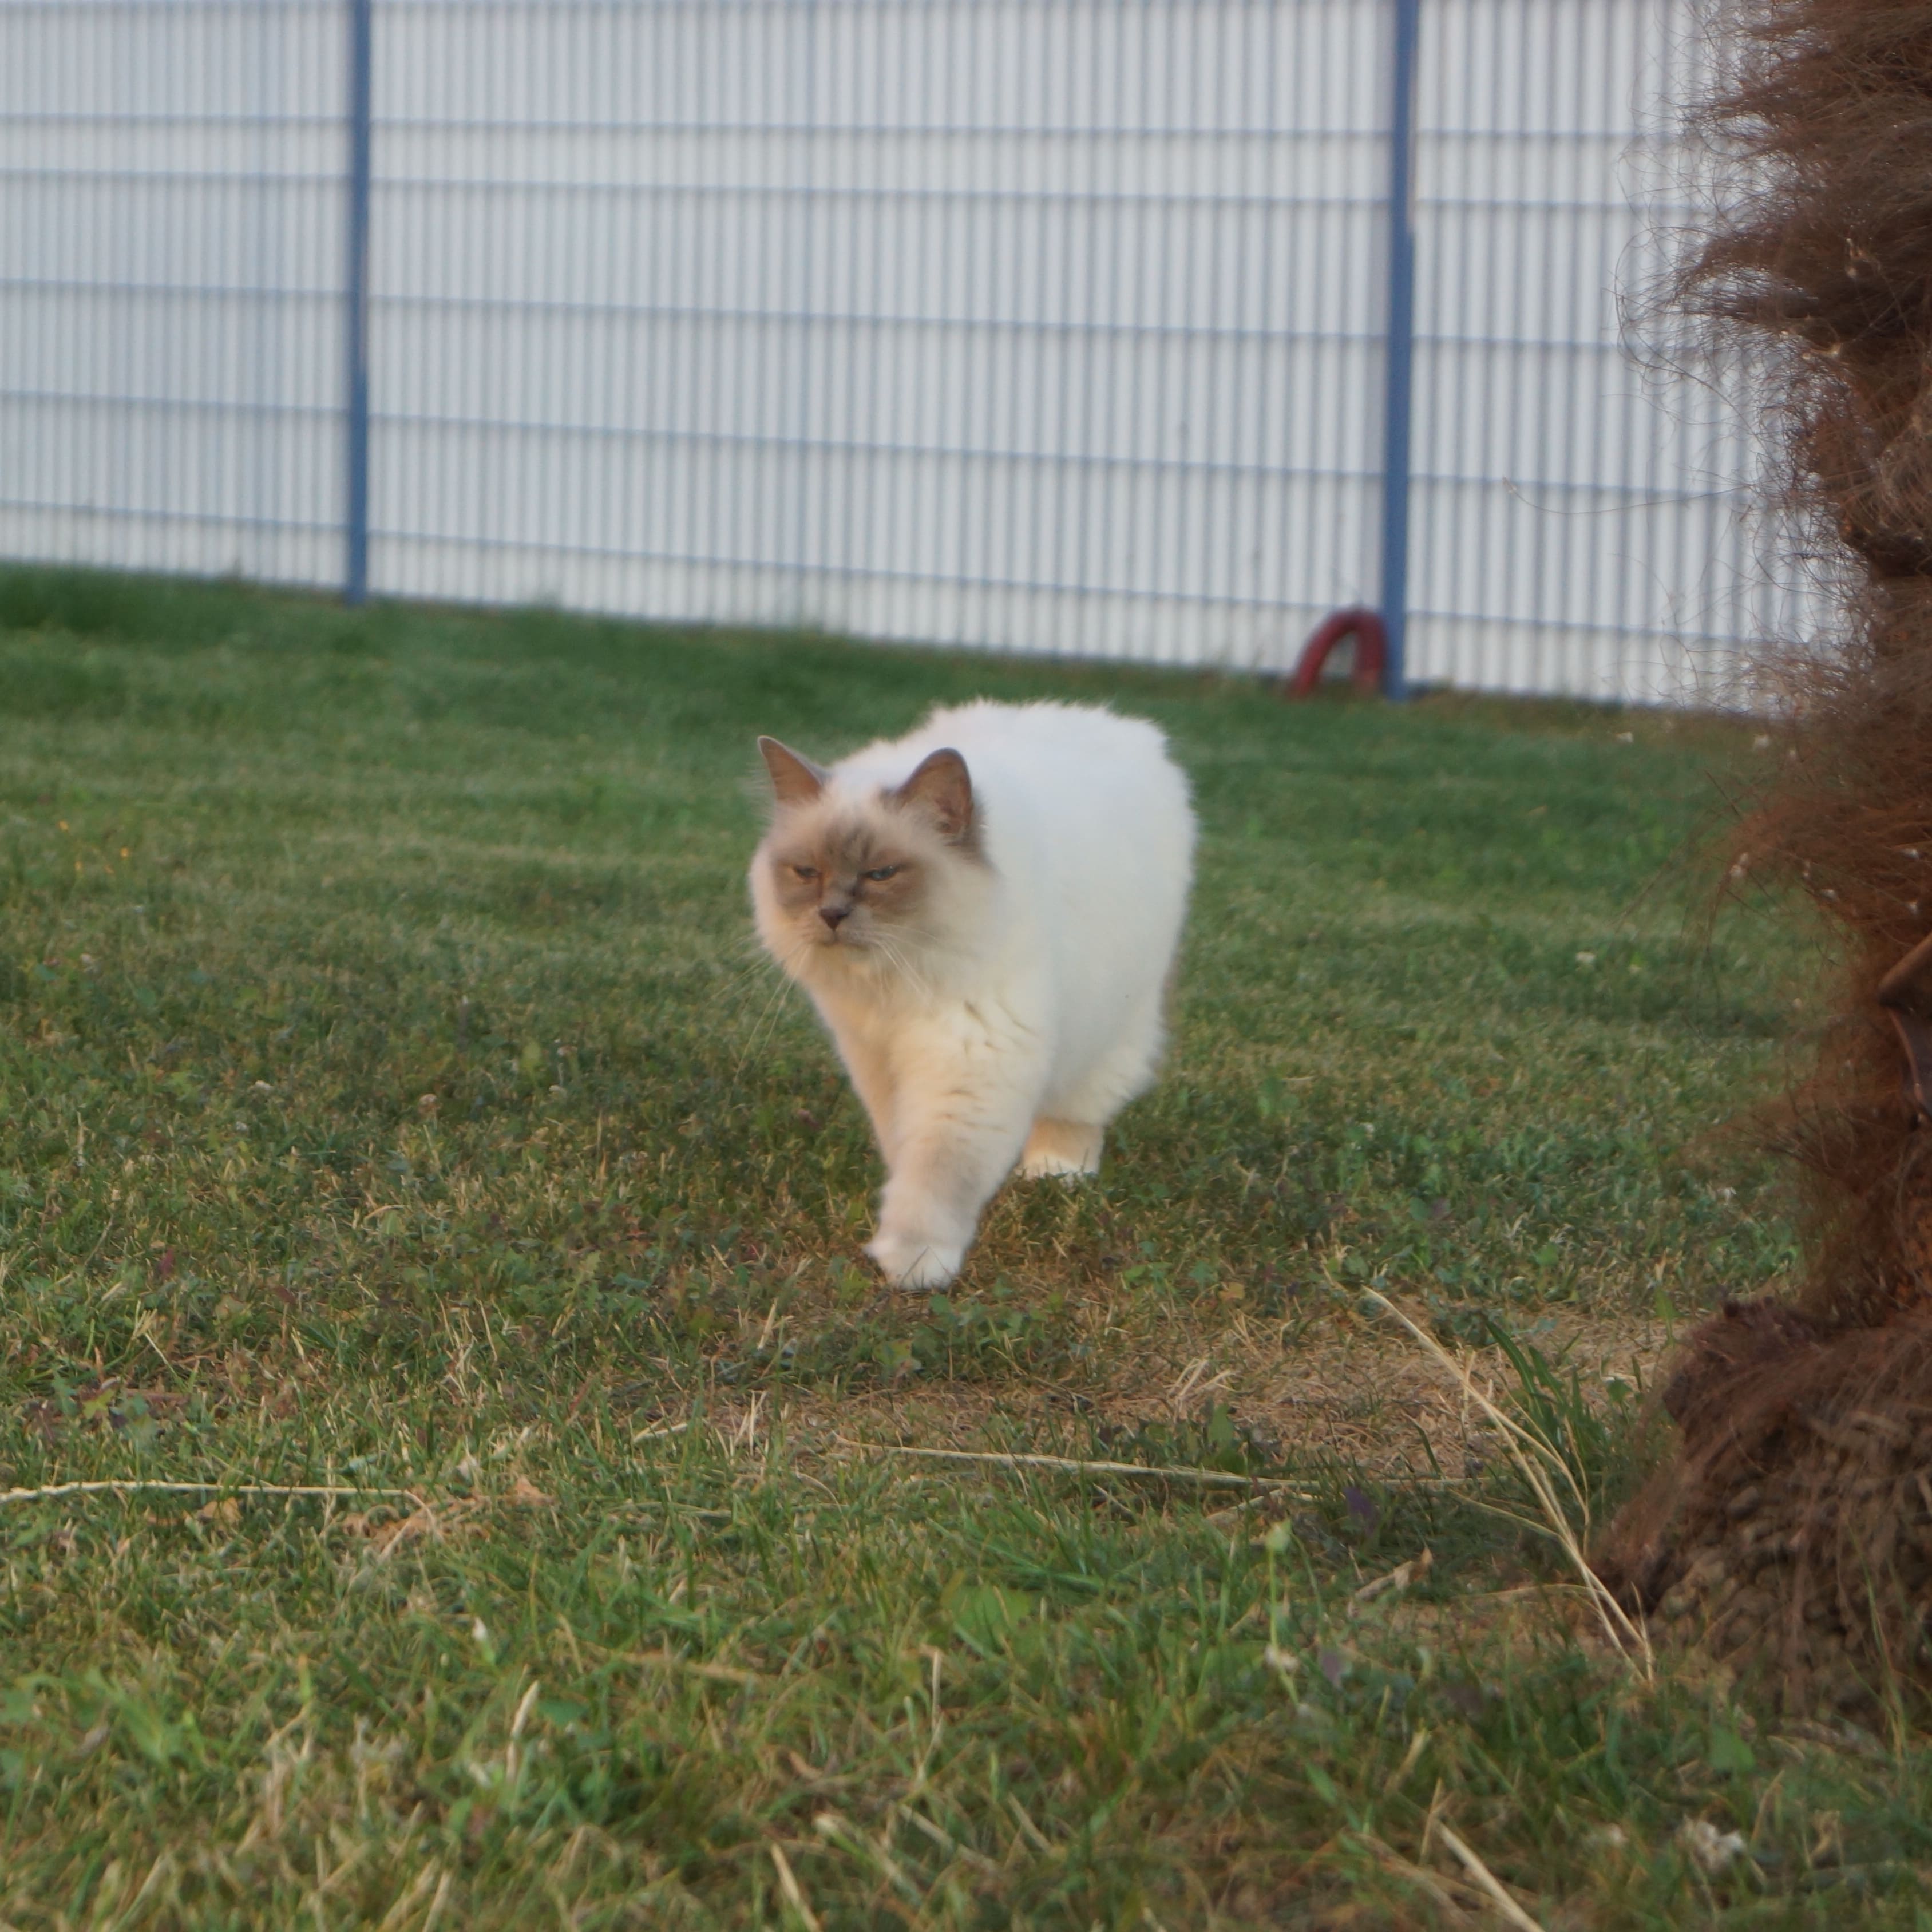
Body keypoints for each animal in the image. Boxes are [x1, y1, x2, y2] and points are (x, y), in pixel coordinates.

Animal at [749, 703, 1190, 1290]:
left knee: (1079, 1107)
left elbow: (938, 1173)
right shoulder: (875, 1056)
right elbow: (906, 1147)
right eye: (807, 872)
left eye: (881, 874)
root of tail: (1122, 725)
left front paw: (914, 1261)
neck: (897, 985)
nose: (832, 915)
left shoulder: (969, 1058)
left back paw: (1056, 1172)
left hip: (1117, 1019)